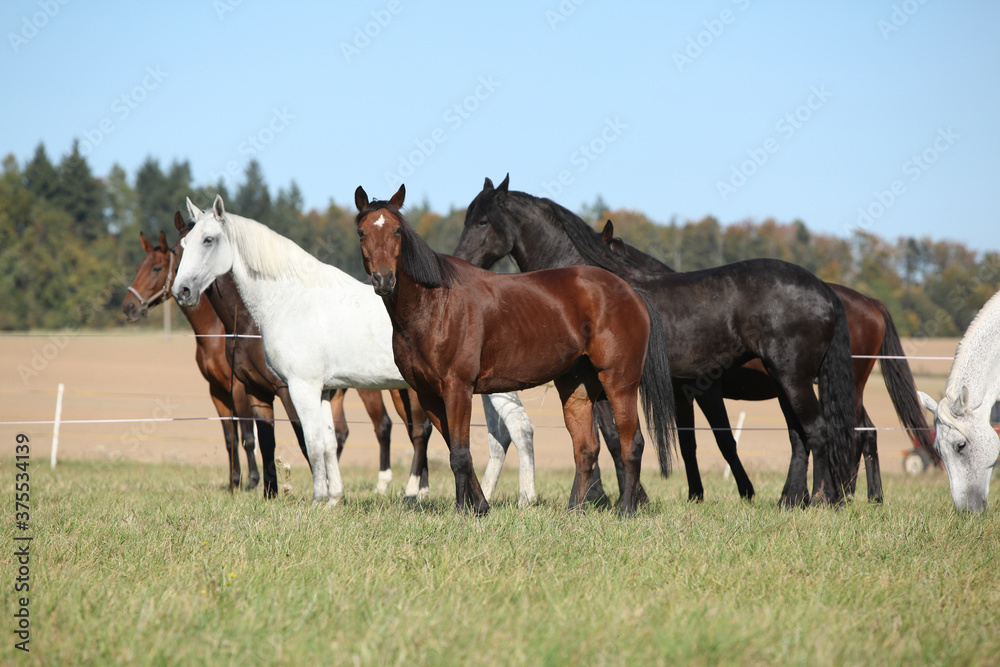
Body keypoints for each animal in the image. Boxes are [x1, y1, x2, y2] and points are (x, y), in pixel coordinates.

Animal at [174, 196, 540, 508]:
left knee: (517, 429)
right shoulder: (323, 390)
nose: (182, 291)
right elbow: (328, 442)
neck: (292, 298)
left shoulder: (300, 387)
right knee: (501, 435)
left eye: (209, 240)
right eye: (183, 245)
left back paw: (523, 498)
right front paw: (333, 498)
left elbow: (312, 442)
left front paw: (317, 500)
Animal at [354, 185, 680, 520]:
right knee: (586, 448)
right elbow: (454, 448)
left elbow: (460, 453)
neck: (435, 304)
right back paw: (573, 512)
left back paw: (626, 509)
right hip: (576, 385)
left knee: (632, 442)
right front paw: (480, 506)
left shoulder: (458, 388)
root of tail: (630, 291)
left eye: (397, 230)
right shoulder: (428, 393)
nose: (383, 278)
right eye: (361, 232)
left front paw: (464, 510)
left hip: (619, 381)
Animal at [458, 175, 856, 508]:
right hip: (786, 381)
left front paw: (624, 499)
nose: (461, 260)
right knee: (800, 437)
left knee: (816, 433)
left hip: (793, 378)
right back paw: (793, 499)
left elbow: (615, 439)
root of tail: (822, 289)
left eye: (483, 221)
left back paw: (822, 499)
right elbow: (611, 440)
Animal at [600, 222, 936, 504]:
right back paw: (852, 495)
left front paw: (744, 492)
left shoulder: (705, 391)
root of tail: (868, 302)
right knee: (855, 432)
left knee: (851, 433)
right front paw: (696, 495)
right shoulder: (680, 392)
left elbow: (724, 441)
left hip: (832, 385)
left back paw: (839, 494)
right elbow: (688, 443)